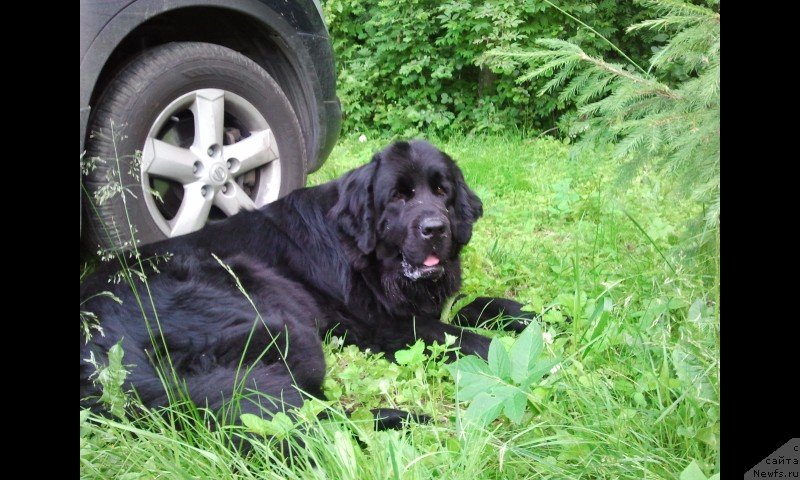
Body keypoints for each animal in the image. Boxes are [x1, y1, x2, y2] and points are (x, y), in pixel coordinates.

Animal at [81, 141, 536, 430]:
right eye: (398, 197)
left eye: (442, 191)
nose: (435, 229)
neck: (365, 256)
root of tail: (102, 344)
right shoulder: (382, 327)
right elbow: (461, 336)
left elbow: (474, 304)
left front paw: (531, 315)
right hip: (281, 325)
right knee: (308, 421)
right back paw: (408, 420)